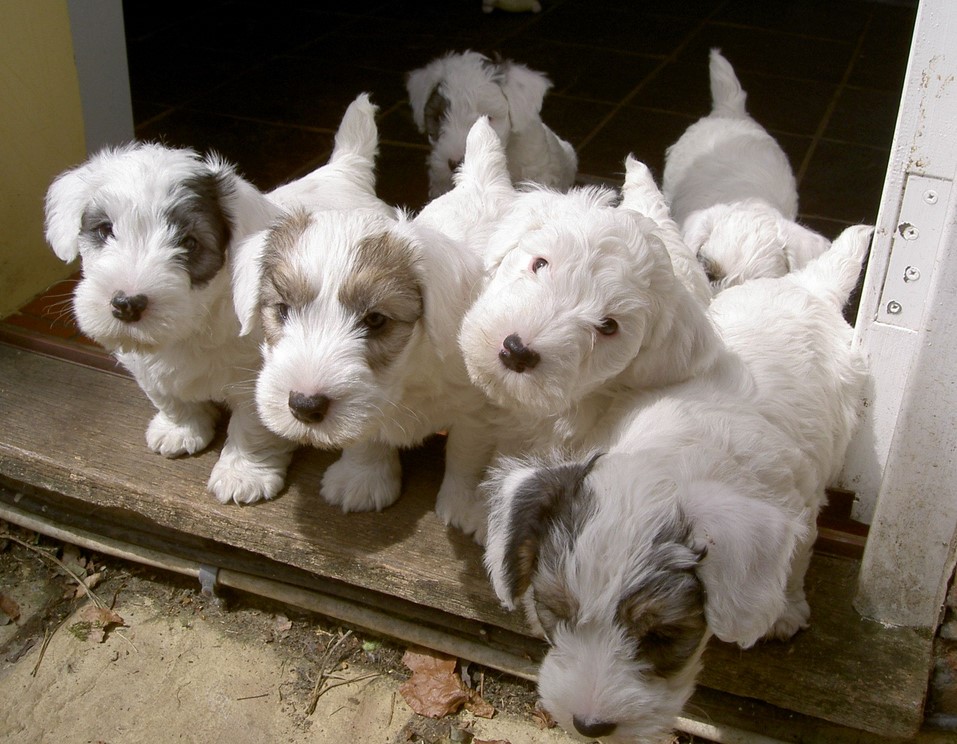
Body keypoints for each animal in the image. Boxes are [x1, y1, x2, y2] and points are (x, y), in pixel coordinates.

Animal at [44, 90, 388, 502]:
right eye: (104, 230)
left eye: (189, 243)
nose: (126, 304)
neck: (194, 323)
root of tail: (343, 171)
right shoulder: (144, 365)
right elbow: (167, 396)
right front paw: (180, 429)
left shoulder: (262, 381)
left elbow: (253, 428)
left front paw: (244, 474)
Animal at [232, 117, 516, 540]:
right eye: (282, 310)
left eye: (376, 320)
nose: (304, 406)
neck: (410, 371)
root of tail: (486, 180)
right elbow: (366, 434)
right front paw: (363, 478)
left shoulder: (480, 409)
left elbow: (468, 455)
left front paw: (470, 506)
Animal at [482, 224, 872, 740]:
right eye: (558, 613)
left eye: (661, 635)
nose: (589, 726)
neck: (670, 455)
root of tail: (805, 287)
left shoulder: (798, 510)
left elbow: (795, 559)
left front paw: (783, 611)